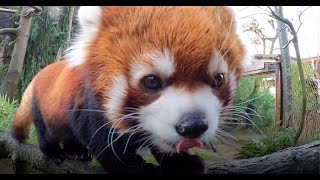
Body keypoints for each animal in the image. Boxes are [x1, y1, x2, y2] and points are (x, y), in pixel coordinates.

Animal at [10, 6, 245, 174]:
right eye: (151, 81)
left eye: (218, 79)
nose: (193, 126)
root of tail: (40, 73)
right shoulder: (92, 107)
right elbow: (107, 149)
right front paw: (141, 169)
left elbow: (163, 141)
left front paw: (182, 164)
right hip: (44, 106)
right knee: (47, 132)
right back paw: (53, 153)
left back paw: (76, 152)